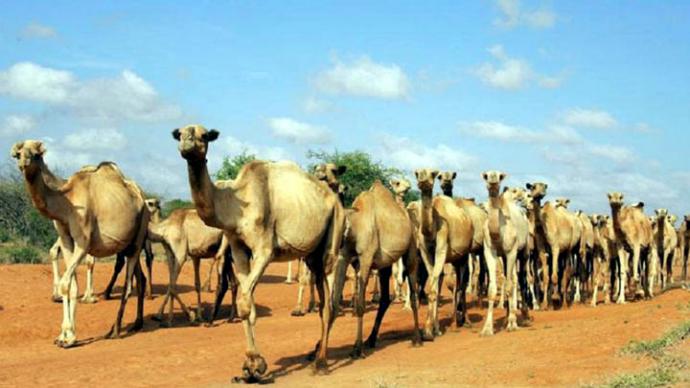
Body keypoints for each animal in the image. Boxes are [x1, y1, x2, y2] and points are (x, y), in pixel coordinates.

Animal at [10, 141, 148, 348]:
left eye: (35, 154)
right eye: (18, 153)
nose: (23, 163)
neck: (66, 201)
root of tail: (143, 197)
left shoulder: (83, 241)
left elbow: (66, 282)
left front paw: (68, 337)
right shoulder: (66, 238)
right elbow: (71, 284)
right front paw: (64, 335)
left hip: (139, 234)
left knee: (128, 284)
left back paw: (115, 330)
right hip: (129, 244)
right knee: (140, 278)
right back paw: (137, 324)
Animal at [172, 125, 344, 378]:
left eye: (204, 135)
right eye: (180, 133)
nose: (187, 143)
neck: (236, 205)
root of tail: (337, 200)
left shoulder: (264, 249)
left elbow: (245, 300)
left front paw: (256, 365)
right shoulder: (238, 249)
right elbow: (247, 305)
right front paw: (250, 366)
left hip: (334, 235)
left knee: (331, 301)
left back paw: (321, 363)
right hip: (313, 254)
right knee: (323, 301)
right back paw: (315, 354)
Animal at [340, 181, 420, 358]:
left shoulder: (365, 258)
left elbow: (361, 305)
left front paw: (357, 349)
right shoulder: (348, 257)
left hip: (411, 249)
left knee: (413, 287)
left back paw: (417, 338)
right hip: (385, 264)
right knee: (384, 299)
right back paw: (370, 339)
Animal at [412, 167, 470, 340]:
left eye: (432, 174)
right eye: (417, 173)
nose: (423, 181)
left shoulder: (442, 247)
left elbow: (435, 287)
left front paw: (428, 332)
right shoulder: (425, 252)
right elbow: (434, 287)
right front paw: (432, 329)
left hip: (464, 256)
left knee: (461, 284)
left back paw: (461, 321)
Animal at [482, 171, 528, 334]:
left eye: (500, 176)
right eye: (486, 175)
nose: (493, 179)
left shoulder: (511, 251)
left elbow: (509, 284)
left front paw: (511, 324)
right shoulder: (489, 250)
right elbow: (491, 289)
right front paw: (487, 328)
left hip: (523, 251)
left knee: (519, 278)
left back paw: (520, 317)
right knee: (513, 278)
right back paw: (510, 314)